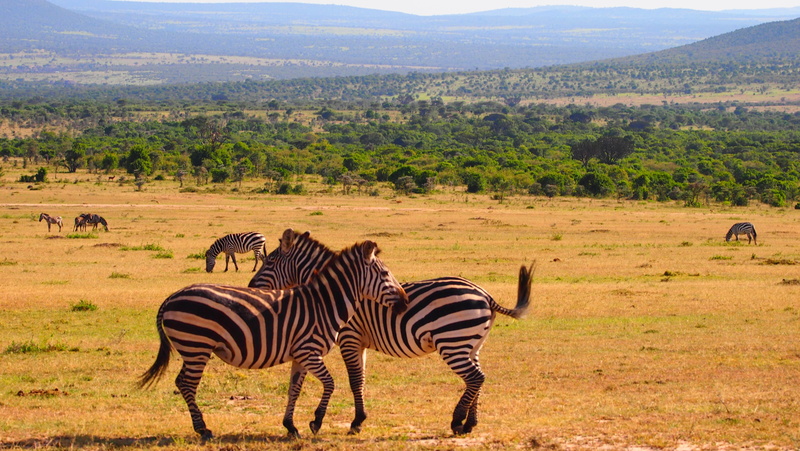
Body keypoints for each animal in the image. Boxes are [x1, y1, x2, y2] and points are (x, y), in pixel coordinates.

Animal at [138, 240, 409, 439]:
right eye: (385, 273)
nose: (405, 303)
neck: (323, 304)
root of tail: (172, 297)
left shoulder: (300, 356)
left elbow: (294, 389)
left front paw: (291, 426)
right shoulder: (310, 351)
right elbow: (330, 384)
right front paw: (316, 421)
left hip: (193, 349)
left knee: (182, 382)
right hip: (197, 347)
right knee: (186, 384)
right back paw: (203, 429)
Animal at [248, 229, 534, 435]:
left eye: (270, 261)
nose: (251, 286)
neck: (335, 292)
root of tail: (485, 294)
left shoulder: (350, 338)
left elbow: (355, 380)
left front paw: (355, 422)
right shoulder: (358, 342)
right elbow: (361, 379)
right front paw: (358, 419)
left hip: (452, 342)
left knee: (475, 378)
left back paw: (456, 421)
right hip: (471, 344)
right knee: (477, 379)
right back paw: (470, 424)